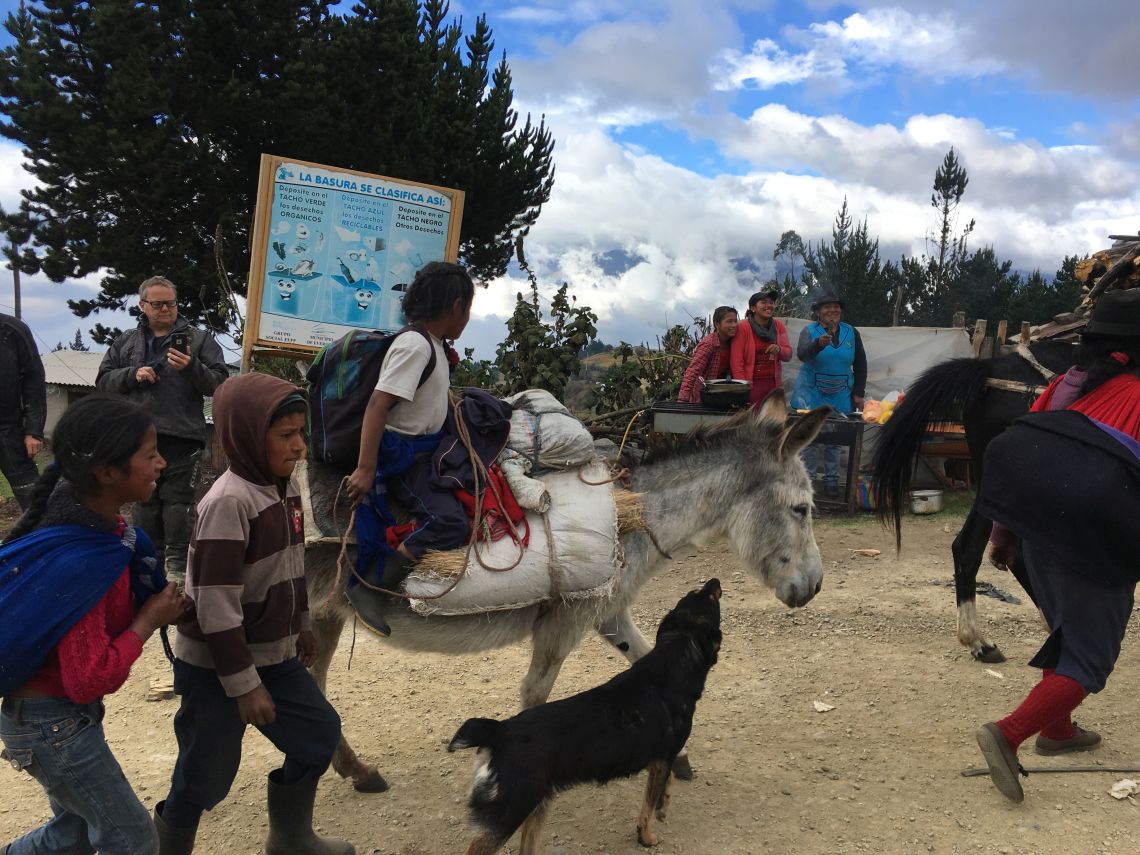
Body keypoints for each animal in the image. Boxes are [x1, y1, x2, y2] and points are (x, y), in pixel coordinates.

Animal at [446, 579, 720, 852]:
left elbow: (662, 789)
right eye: (711, 599)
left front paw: (664, 805)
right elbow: (647, 808)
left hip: (536, 805)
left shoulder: (660, 759)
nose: (714, 582)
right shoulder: (664, 757)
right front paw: (647, 836)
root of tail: (499, 731)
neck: (671, 659)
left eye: (694, 592)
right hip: (509, 813)